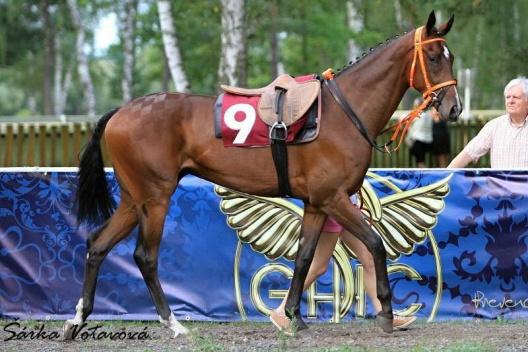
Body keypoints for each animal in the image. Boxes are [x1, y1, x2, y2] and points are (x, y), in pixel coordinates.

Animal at [64, 11, 462, 338]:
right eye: (431, 57)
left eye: (451, 57)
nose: (453, 108)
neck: (343, 113)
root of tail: (120, 112)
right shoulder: (334, 199)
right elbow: (375, 244)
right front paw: (387, 313)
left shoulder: (317, 204)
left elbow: (304, 257)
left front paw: (293, 316)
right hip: (155, 198)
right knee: (145, 257)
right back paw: (173, 323)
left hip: (135, 200)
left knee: (97, 245)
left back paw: (78, 319)